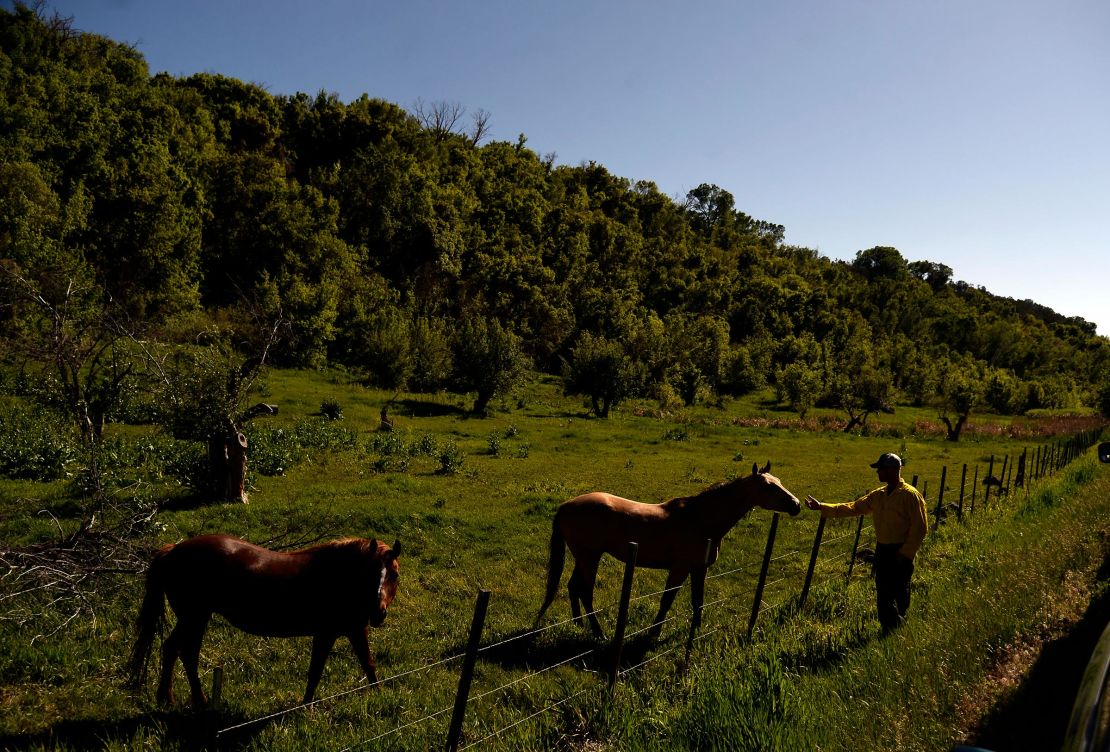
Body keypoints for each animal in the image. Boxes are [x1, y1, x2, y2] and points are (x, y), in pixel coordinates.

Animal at [128, 533, 401, 702]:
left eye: (394, 574)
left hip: (197, 618)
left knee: (182, 652)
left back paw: (189, 700)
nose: (378, 612)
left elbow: (365, 664)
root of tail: (173, 549)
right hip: (193, 617)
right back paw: (181, 699)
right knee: (178, 650)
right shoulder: (333, 632)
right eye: (369, 572)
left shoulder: (349, 630)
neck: (338, 577)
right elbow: (322, 670)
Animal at [535, 464, 799, 639]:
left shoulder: (699, 569)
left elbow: (698, 601)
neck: (700, 519)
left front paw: (696, 630)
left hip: (583, 558)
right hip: (590, 558)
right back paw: (599, 633)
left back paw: (579, 624)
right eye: (768, 487)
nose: (796, 505)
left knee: (573, 587)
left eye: (779, 481)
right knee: (585, 592)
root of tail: (565, 506)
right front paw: (654, 633)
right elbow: (667, 600)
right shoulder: (679, 569)